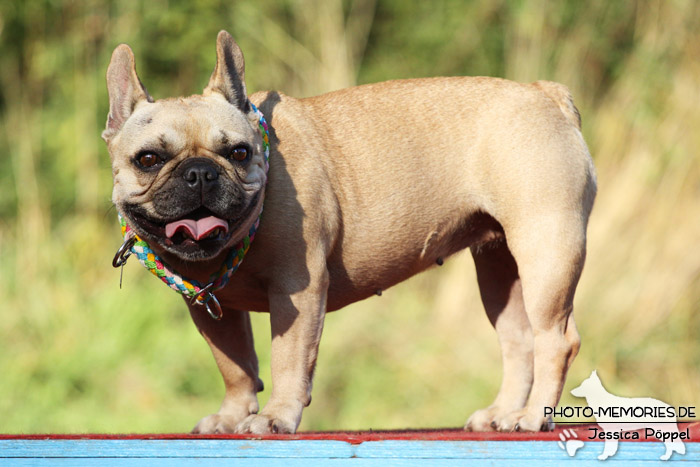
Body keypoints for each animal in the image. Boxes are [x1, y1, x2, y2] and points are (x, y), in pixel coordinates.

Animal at [102, 31, 596, 436]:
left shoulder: (297, 293)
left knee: (556, 339)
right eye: (148, 159)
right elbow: (234, 365)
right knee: (520, 341)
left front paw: (275, 417)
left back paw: (532, 417)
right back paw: (504, 413)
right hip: (499, 266)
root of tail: (546, 94)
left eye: (239, 153)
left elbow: (287, 359)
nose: (200, 173)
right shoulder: (207, 307)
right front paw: (232, 415)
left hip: (545, 248)